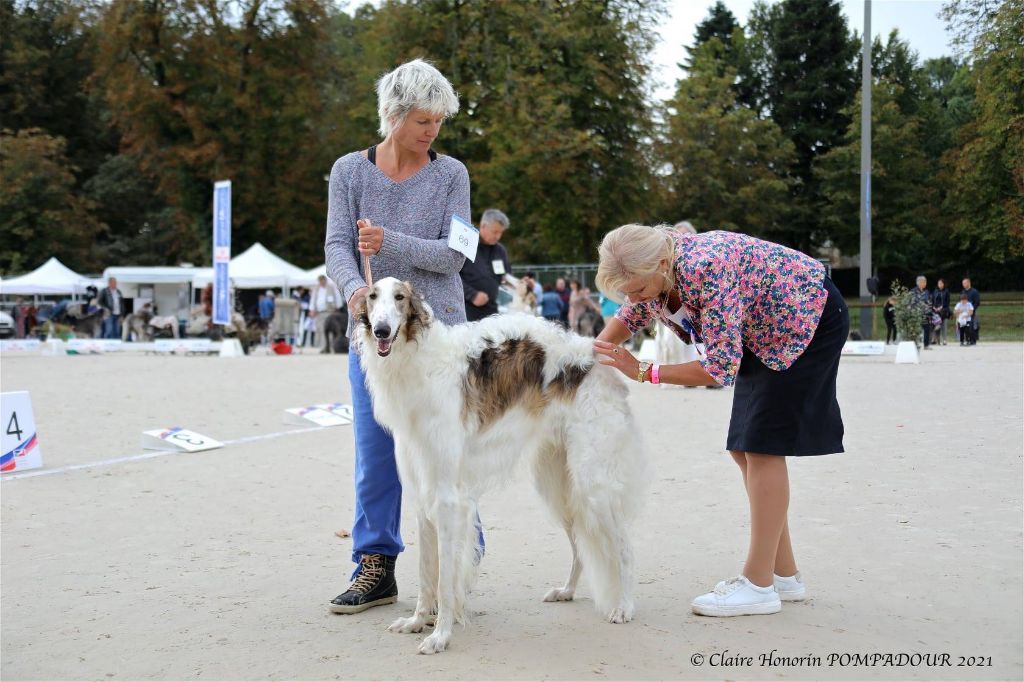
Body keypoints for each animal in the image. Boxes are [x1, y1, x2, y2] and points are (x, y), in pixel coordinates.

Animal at [352, 276, 647, 655]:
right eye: (372, 297)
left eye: (400, 298)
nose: (382, 330)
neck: (419, 362)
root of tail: (597, 356)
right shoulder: (422, 495)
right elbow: (425, 571)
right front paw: (418, 621)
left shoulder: (448, 498)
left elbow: (445, 578)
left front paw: (440, 635)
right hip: (557, 484)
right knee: (581, 543)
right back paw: (566, 591)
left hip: (591, 482)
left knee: (623, 546)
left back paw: (624, 606)